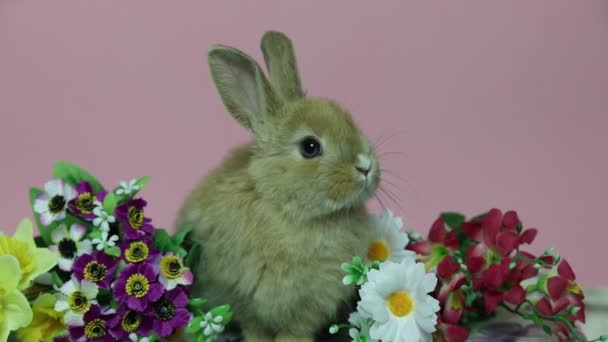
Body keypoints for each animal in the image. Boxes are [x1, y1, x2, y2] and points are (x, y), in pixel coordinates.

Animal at [176, 30, 382, 340]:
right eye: (310, 147)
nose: (366, 166)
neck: (289, 211)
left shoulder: (313, 303)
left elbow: (296, 331)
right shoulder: (242, 296)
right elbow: (255, 327)